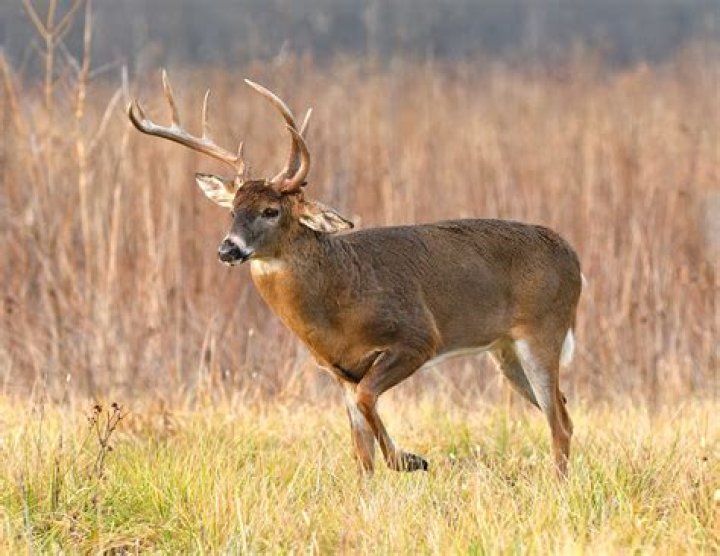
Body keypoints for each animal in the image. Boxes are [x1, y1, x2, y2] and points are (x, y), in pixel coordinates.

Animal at [128, 71, 582, 477]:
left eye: (271, 210)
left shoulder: (418, 337)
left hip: (542, 331)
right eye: (232, 210)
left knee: (559, 422)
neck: (339, 298)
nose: (228, 249)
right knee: (563, 411)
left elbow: (369, 402)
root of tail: (574, 258)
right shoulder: (340, 371)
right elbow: (360, 451)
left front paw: (409, 460)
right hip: (505, 351)